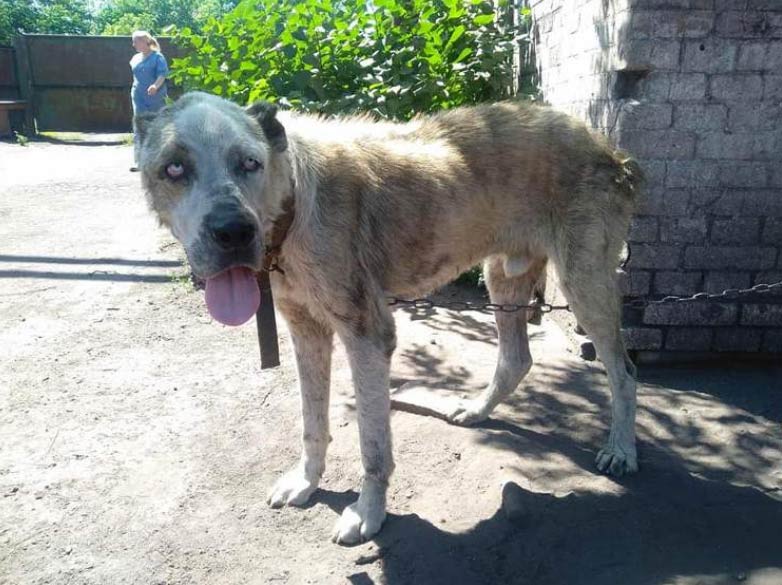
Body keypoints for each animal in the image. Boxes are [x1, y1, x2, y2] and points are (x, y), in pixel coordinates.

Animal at [135, 91, 648, 544]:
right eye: (174, 168)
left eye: (249, 163)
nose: (233, 233)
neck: (296, 203)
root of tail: (605, 145)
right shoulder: (306, 332)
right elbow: (312, 423)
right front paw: (307, 482)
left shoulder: (368, 337)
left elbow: (373, 444)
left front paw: (368, 512)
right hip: (503, 276)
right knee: (516, 359)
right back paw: (477, 410)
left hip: (584, 285)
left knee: (624, 371)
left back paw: (621, 449)